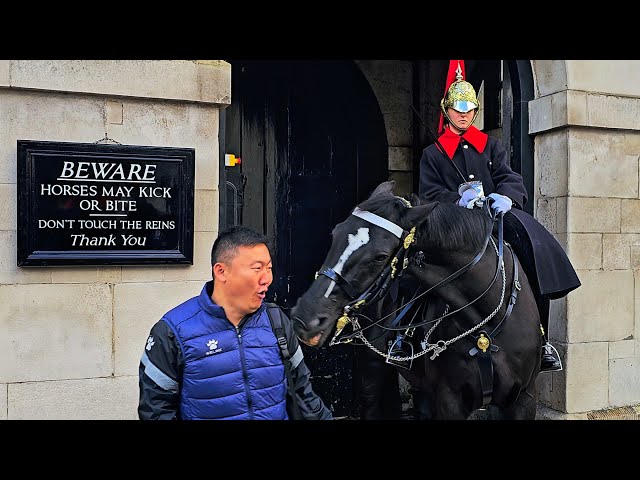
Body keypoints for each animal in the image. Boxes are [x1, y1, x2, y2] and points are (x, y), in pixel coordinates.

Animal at [292, 182, 544, 418]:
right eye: (335, 234)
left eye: (381, 256)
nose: (305, 318)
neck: (487, 328)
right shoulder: (449, 400)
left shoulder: (524, 399)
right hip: (372, 363)